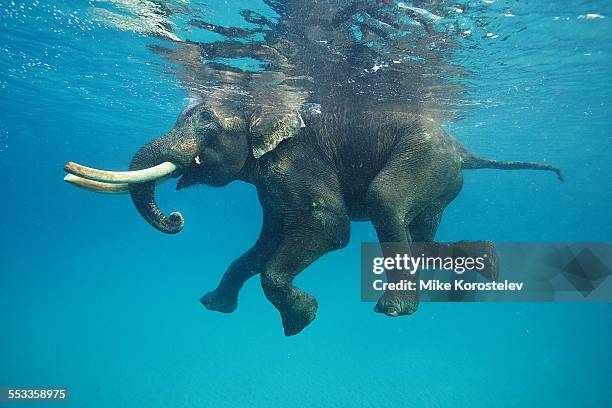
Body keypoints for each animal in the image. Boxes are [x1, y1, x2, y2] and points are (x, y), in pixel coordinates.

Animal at [64, 103, 560, 336]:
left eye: (208, 128)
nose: (176, 218)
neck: (263, 109)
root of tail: (463, 149)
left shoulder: (298, 161)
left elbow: (328, 228)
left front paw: (301, 319)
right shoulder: (270, 182)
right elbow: (265, 242)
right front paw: (213, 306)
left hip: (426, 160)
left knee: (385, 202)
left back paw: (395, 309)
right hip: (440, 179)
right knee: (416, 228)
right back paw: (486, 264)